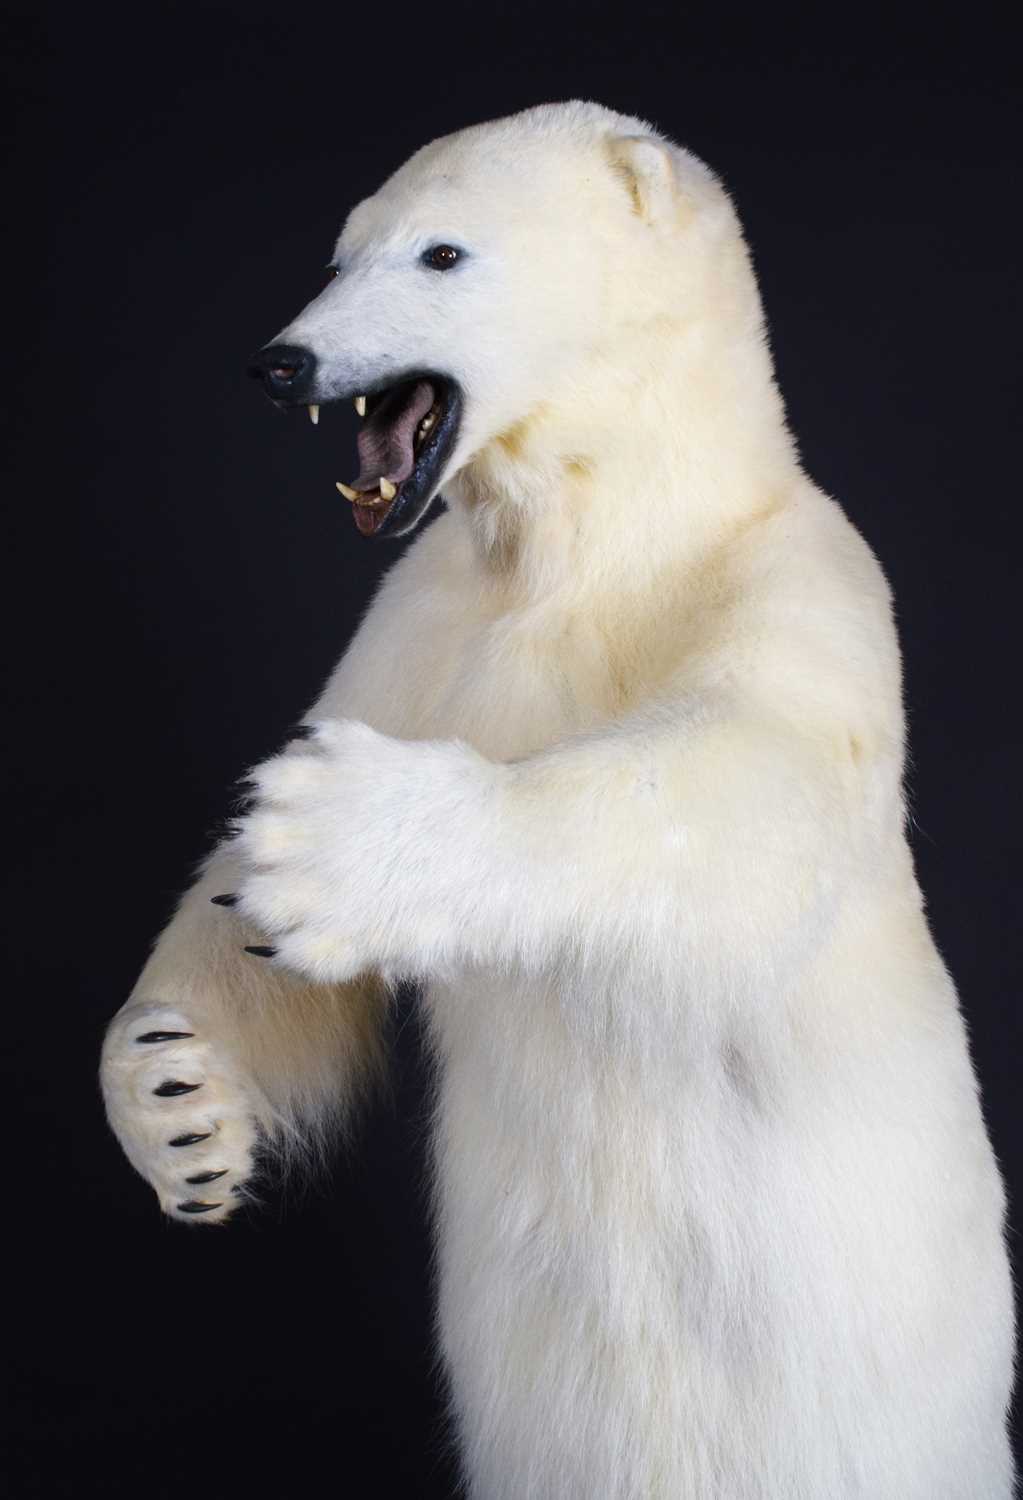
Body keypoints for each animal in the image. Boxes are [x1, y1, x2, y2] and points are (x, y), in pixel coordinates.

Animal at [101, 99, 1014, 1494]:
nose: (280, 364)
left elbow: (746, 794)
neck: (598, 530)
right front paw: (177, 1100)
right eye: (340, 248)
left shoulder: (806, 578)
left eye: (440, 253)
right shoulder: (422, 616)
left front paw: (338, 838)